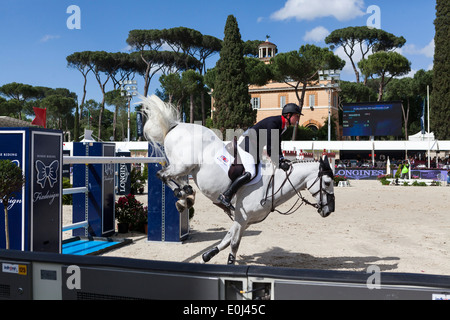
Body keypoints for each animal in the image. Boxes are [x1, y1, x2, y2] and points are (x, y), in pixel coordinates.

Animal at [141, 95, 334, 264]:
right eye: (327, 182)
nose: (330, 210)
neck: (273, 185)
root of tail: (174, 126)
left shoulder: (244, 221)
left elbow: (227, 239)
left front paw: (207, 255)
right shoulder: (242, 217)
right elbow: (234, 244)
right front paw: (229, 263)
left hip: (187, 168)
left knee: (179, 180)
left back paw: (185, 196)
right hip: (182, 165)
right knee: (162, 175)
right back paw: (181, 195)